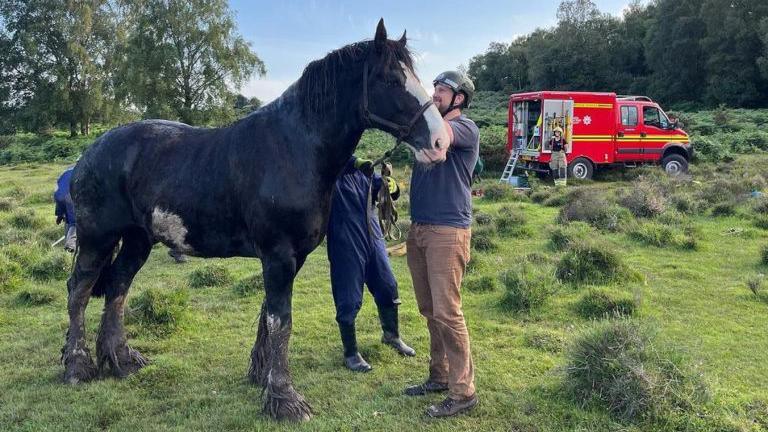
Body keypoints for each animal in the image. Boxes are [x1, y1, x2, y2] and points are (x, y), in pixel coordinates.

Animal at [61, 18, 450, 420]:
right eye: (391, 78)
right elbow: (282, 320)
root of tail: (89, 153)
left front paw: (262, 375)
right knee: (79, 290)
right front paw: (285, 398)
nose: (440, 142)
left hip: (138, 239)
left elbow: (269, 315)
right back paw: (77, 366)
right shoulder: (278, 255)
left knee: (118, 287)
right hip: (96, 238)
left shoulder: (291, 257)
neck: (294, 148)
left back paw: (120, 360)